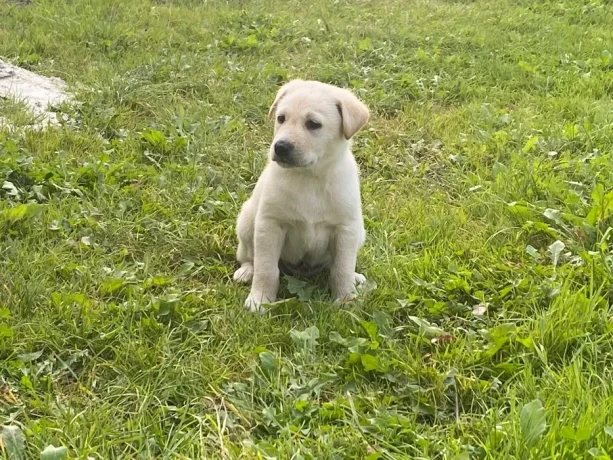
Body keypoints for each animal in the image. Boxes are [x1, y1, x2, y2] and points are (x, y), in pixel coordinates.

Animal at [233, 80, 368, 312]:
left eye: (313, 124)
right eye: (281, 118)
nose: (280, 147)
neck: (310, 177)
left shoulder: (346, 229)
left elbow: (342, 268)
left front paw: (345, 300)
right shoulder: (270, 225)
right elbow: (266, 269)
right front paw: (259, 300)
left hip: (359, 232)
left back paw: (356, 277)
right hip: (247, 222)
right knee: (249, 256)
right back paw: (246, 271)